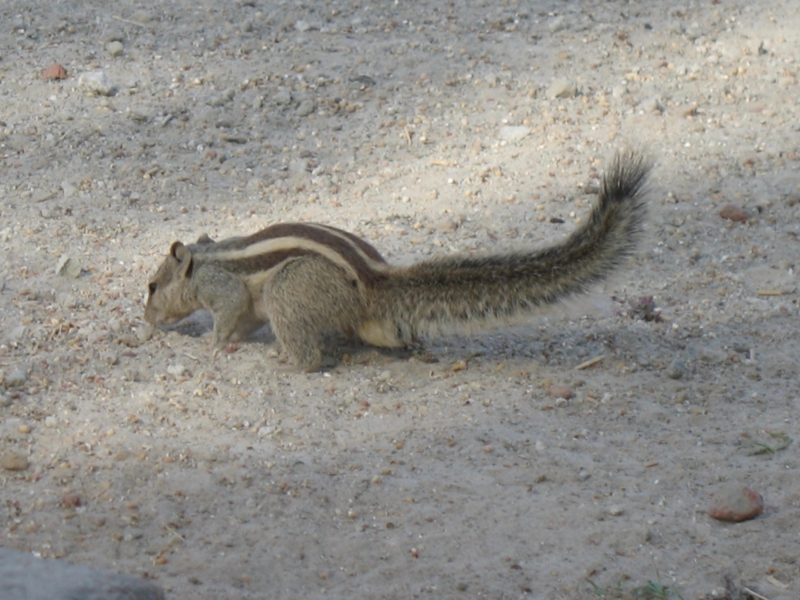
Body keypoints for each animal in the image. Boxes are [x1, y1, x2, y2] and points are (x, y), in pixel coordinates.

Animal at [147, 150, 652, 370]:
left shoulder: (226, 288)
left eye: (152, 287)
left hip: (288, 289)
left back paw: (286, 358)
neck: (206, 259)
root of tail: (376, 284)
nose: (147, 318)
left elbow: (229, 313)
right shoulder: (249, 306)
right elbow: (245, 319)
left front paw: (212, 344)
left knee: (308, 354)